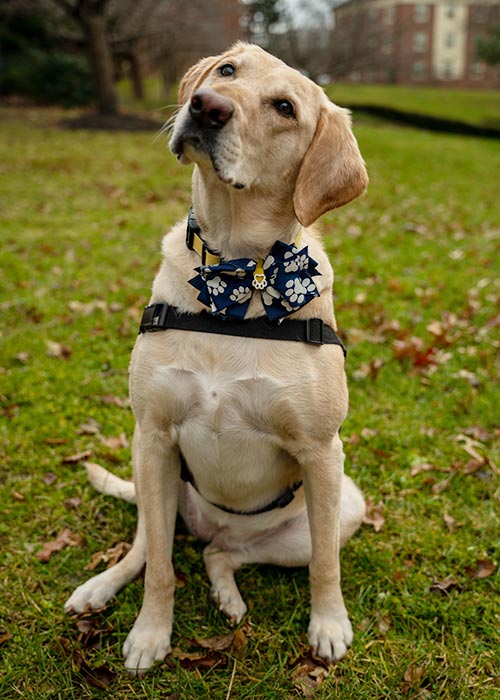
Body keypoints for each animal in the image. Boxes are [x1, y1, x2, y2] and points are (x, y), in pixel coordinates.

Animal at [65, 42, 368, 672]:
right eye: (227, 72)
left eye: (284, 108)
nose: (207, 106)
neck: (236, 271)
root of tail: (213, 526)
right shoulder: (153, 433)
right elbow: (160, 570)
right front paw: (151, 634)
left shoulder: (321, 452)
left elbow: (327, 566)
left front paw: (329, 624)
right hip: (154, 479)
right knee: (152, 549)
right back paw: (101, 587)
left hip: (338, 507)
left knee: (223, 555)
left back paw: (228, 596)